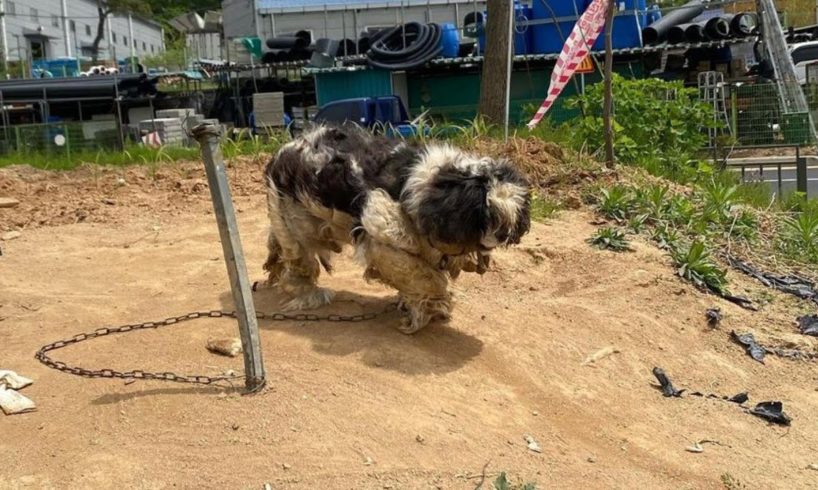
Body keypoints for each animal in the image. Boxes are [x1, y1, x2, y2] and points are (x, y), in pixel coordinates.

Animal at [262, 124, 528, 334]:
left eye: (508, 222)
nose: (502, 235)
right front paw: (430, 309)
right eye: (488, 216)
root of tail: (286, 149)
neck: (431, 186)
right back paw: (310, 294)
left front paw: (413, 305)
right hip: (292, 223)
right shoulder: (382, 231)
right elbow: (425, 277)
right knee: (300, 260)